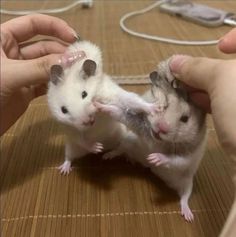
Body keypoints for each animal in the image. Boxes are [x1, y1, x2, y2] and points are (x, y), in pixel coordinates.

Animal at [47, 40, 154, 174]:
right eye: (63, 110)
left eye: (84, 94)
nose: (87, 121)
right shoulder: (69, 129)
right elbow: (81, 139)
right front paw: (97, 147)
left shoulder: (111, 94)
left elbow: (131, 101)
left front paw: (154, 108)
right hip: (71, 147)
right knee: (69, 157)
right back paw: (65, 169)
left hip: (122, 136)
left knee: (121, 150)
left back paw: (110, 155)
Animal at [95, 58, 207, 221]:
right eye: (164, 106)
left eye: (185, 119)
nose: (161, 128)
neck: (158, 141)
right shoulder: (139, 127)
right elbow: (120, 113)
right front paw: (98, 106)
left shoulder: (188, 156)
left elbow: (174, 159)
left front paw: (154, 158)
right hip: (129, 140)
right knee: (120, 149)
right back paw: (110, 156)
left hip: (187, 182)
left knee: (184, 197)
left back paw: (188, 215)